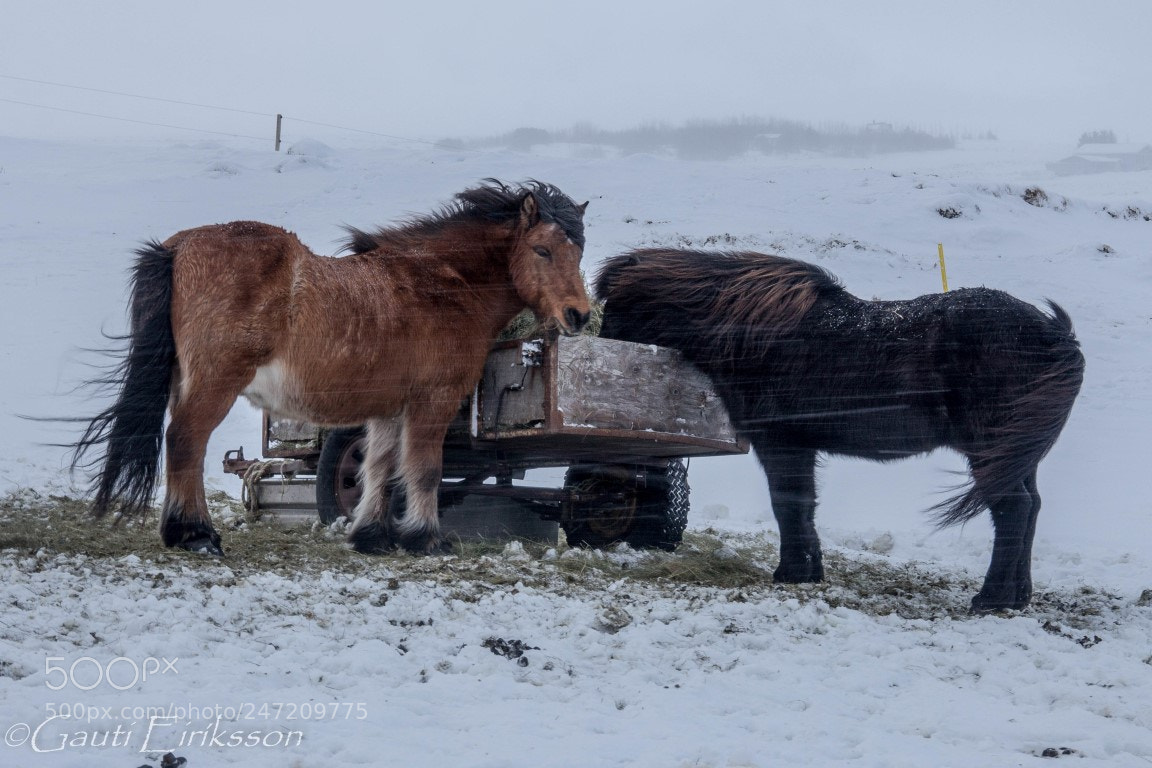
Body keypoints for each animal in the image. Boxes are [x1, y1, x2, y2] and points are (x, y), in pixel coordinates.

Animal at [71, 180, 591, 556]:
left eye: (578, 251)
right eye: (543, 250)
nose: (579, 315)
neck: (445, 284)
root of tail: (179, 247)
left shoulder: (389, 409)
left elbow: (379, 470)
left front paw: (372, 537)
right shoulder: (433, 401)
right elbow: (424, 470)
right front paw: (426, 539)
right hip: (216, 383)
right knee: (185, 442)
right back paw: (197, 536)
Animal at [595, 248, 1084, 613]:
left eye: (615, 308)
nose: (597, 347)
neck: (749, 329)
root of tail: (1056, 334)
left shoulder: (781, 443)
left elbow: (788, 505)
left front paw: (791, 573)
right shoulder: (799, 447)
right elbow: (804, 507)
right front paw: (809, 571)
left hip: (989, 450)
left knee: (1013, 509)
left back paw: (991, 598)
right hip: (1013, 455)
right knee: (1030, 508)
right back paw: (1018, 596)